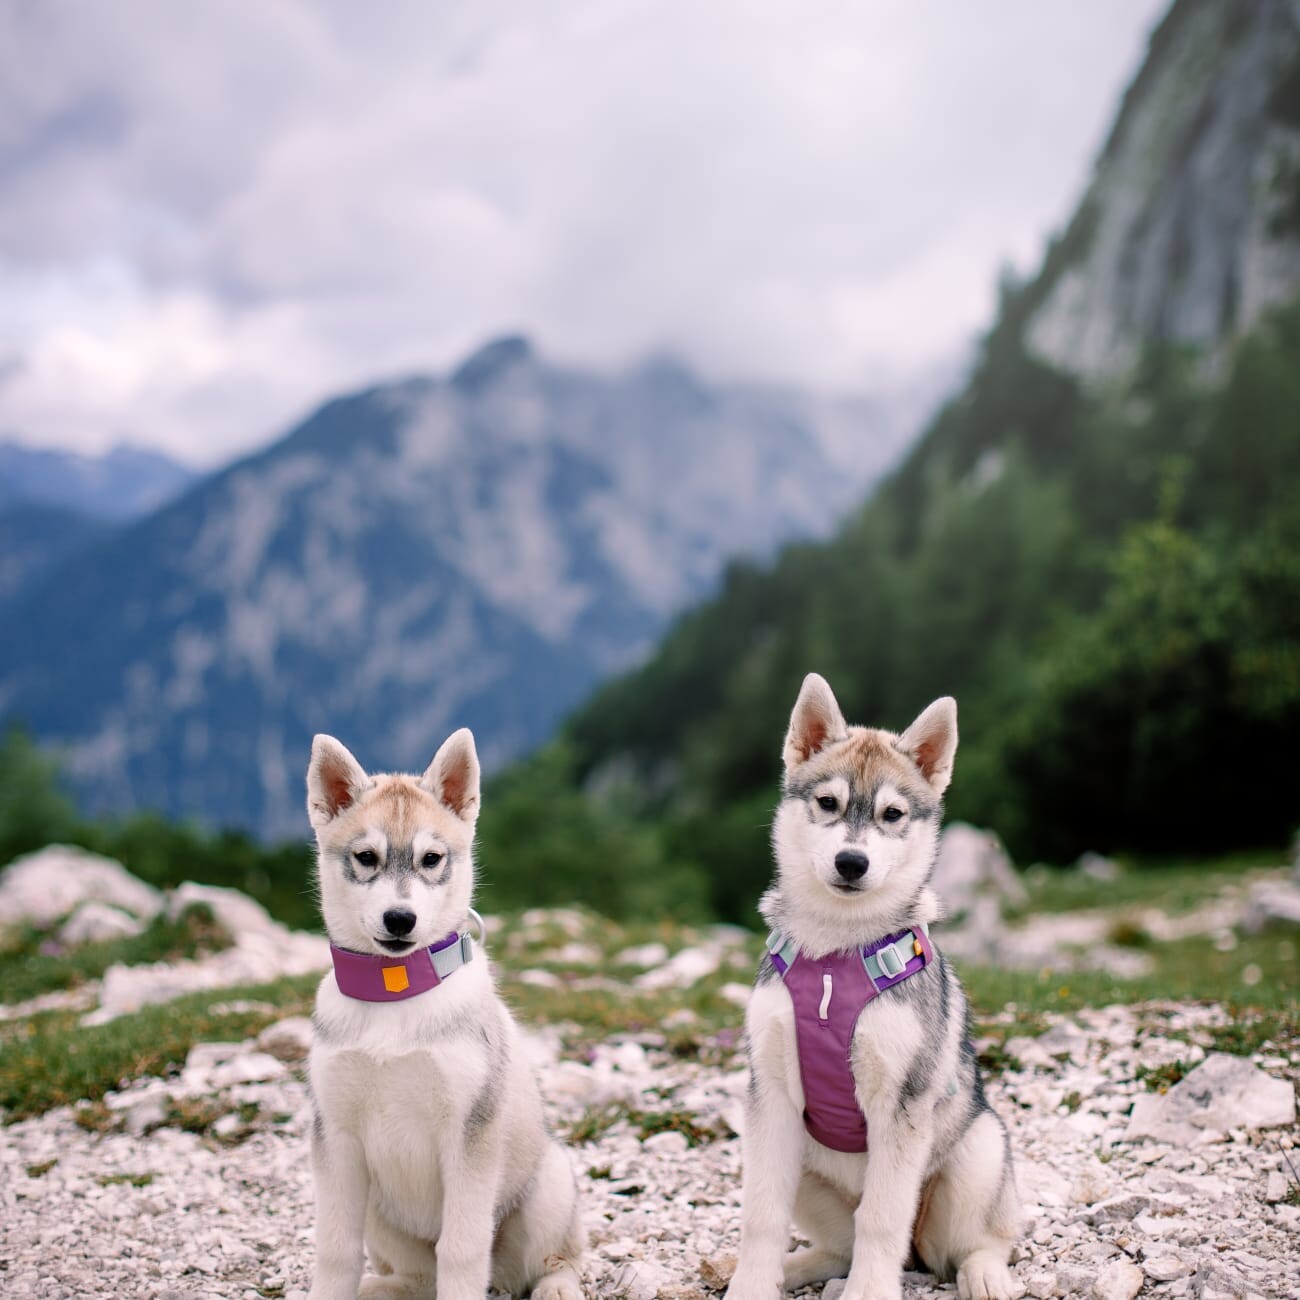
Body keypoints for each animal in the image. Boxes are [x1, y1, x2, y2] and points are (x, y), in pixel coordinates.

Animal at [304, 728, 585, 1300]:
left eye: (432, 858)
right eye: (365, 856)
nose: (400, 918)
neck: (395, 996)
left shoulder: (469, 1135)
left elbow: (460, 1250)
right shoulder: (335, 1139)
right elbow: (335, 1251)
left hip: (548, 1186)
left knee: (559, 1256)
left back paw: (557, 1283)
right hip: (379, 1214)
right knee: (418, 1275)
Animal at [724, 674, 1021, 1300]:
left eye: (892, 813)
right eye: (827, 803)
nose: (851, 862)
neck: (833, 958)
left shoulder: (901, 1103)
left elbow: (882, 1218)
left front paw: (869, 1291)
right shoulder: (771, 1097)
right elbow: (761, 1215)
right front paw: (751, 1284)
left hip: (978, 1153)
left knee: (977, 1241)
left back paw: (984, 1273)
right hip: (802, 1169)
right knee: (838, 1245)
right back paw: (795, 1268)